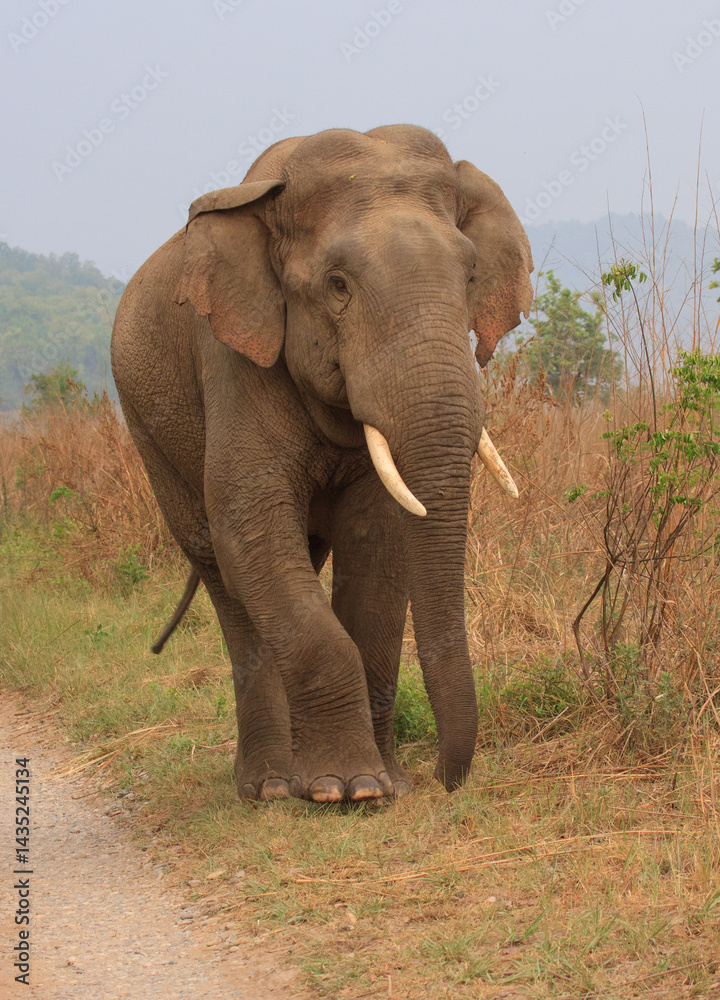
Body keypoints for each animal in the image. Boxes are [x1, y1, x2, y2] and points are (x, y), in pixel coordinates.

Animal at [110, 124, 533, 805]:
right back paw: (270, 787)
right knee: (221, 566)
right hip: (146, 428)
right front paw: (345, 788)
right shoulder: (232, 357)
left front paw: (382, 787)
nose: (443, 779)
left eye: (470, 274)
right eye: (338, 284)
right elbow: (251, 530)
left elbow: (377, 540)